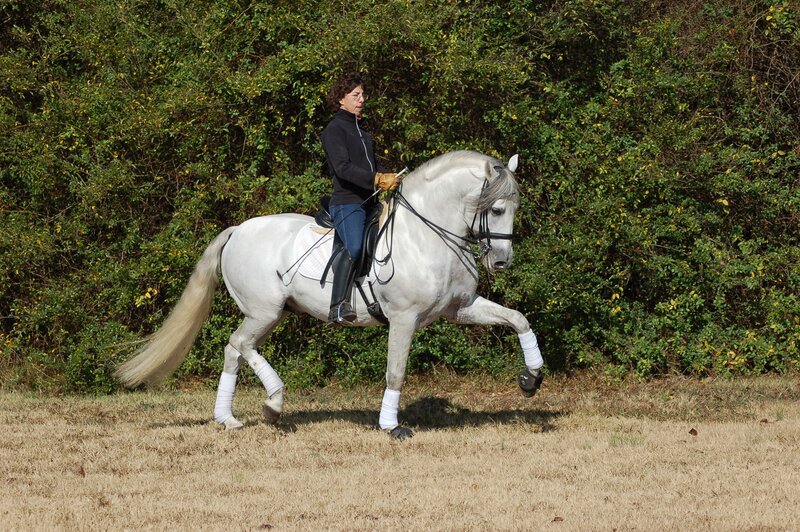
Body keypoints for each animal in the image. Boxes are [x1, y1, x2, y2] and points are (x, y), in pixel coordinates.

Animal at [115, 150, 544, 439]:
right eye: (498, 209)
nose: (501, 262)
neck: (428, 234)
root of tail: (237, 230)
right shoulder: (404, 318)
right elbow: (396, 371)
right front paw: (391, 426)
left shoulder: (460, 308)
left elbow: (518, 318)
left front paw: (532, 378)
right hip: (265, 311)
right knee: (240, 344)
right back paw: (273, 403)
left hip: (270, 313)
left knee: (234, 350)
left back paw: (229, 418)